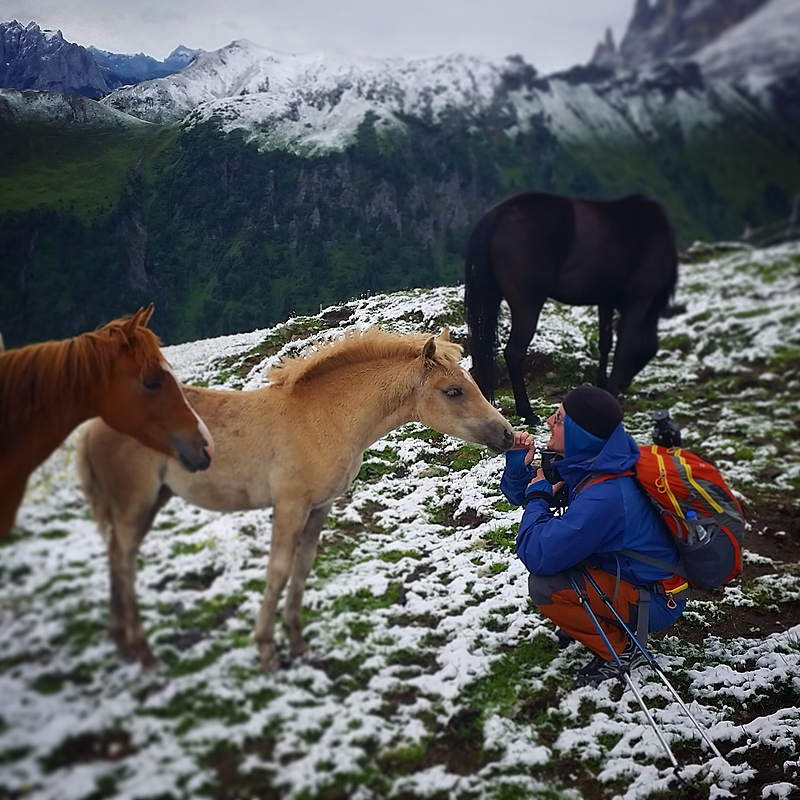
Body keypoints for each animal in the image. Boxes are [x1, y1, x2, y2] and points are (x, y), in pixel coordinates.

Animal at [76, 324, 512, 668]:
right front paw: (267, 651)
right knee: (125, 565)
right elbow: (279, 570)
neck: (324, 416)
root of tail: (95, 425)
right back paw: (142, 653)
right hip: (134, 504)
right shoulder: (290, 505)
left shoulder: (320, 506)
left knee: (117, 559)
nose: (507, 435)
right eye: (453, 391)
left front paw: (298, 643)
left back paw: (123, 645)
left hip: (150, 502)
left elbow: (302, 569)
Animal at [466, 191, 680, 424]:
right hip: (527, 305)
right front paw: (612, 393)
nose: (625, 383)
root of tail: (497, 215)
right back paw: (527, 412)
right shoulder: (638, 300)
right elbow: (623, 346)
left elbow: (605, 342)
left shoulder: (606, 300)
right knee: (514, 352)